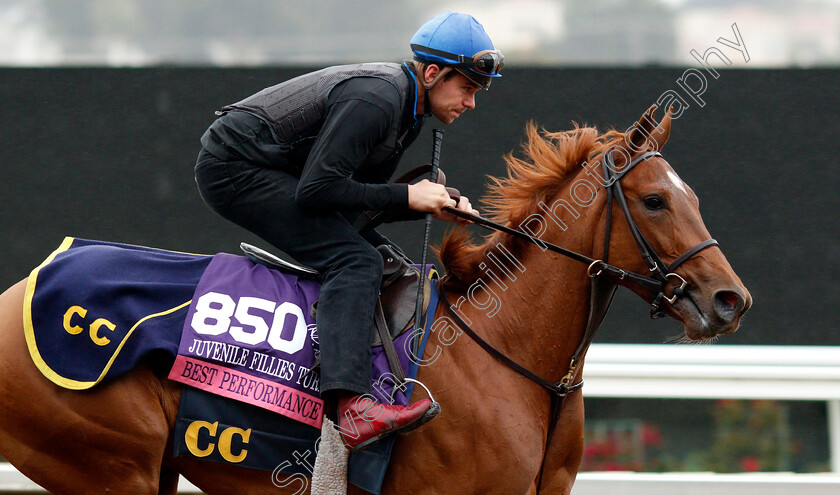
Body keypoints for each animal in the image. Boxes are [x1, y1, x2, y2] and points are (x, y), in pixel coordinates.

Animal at [0, 106, 748, 494]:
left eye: (691, 196)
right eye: (654, 201)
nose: (730, 299)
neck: (508, 356)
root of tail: (18, 291)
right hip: (108, 462)